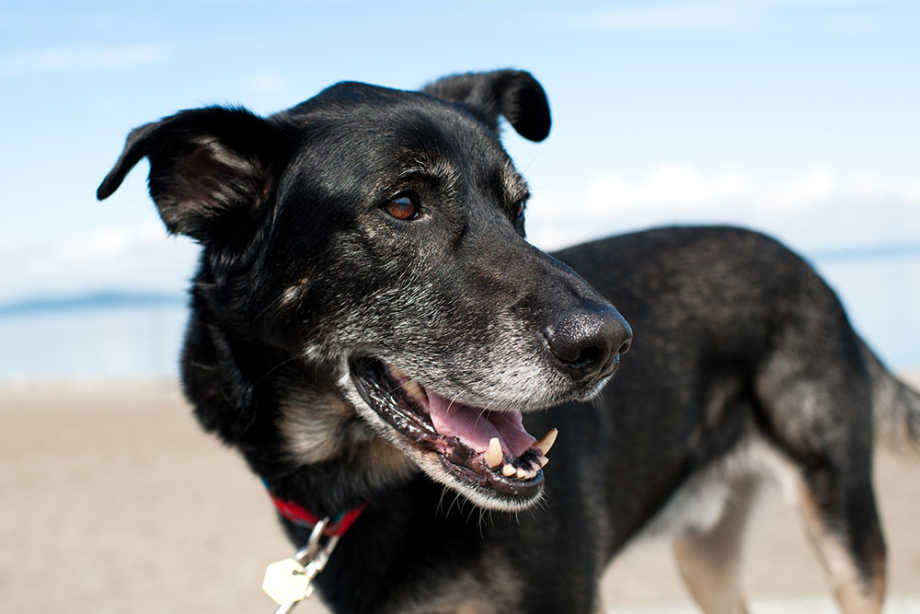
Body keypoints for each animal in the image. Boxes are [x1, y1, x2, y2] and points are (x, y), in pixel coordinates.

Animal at [100, 70, 920, 612]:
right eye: (403, 204)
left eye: (518, 208)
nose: (609, 346)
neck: (363, 489)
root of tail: (808, 268)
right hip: (707, 555)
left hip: (845, 530)